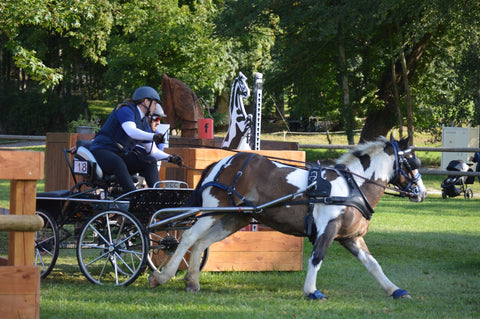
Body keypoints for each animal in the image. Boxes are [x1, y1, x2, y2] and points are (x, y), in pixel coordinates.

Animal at [150, 136, 428, 302]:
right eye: (412, 161)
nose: (422, 192)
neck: (352, 186)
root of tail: (223, 162)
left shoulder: (351, 238)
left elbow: (373, 264)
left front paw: (394, 289)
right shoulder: (328, 229)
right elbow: (317, 258)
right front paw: (311, 291)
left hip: (232, 219)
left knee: (201, 243)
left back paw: (192, 282)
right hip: (212, 210)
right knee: (188, 237)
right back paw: (162, 276)